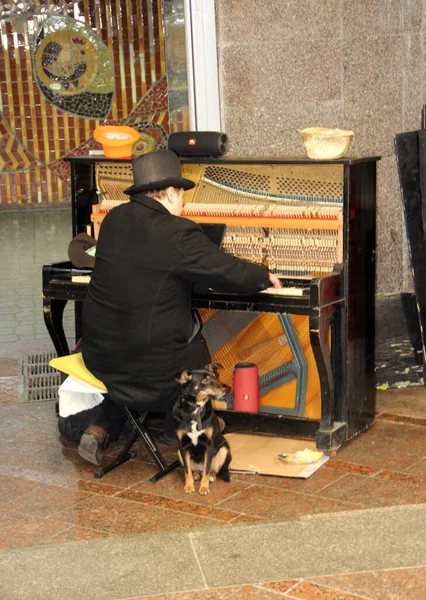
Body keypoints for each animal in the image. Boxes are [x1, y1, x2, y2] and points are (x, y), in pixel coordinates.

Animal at [173, 364, 231, 494]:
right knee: (192, 469)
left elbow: (207, 469)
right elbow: (187, 470)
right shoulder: (183, 446)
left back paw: (211, 476)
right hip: (178, 452)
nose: (224, 390)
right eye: (205, 380)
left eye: (214, 376)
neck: (196, 409)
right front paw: (189, 486)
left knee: (213, 470)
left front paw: (204, 487)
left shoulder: (209, 445)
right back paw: (195, 474)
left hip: (224, 449)